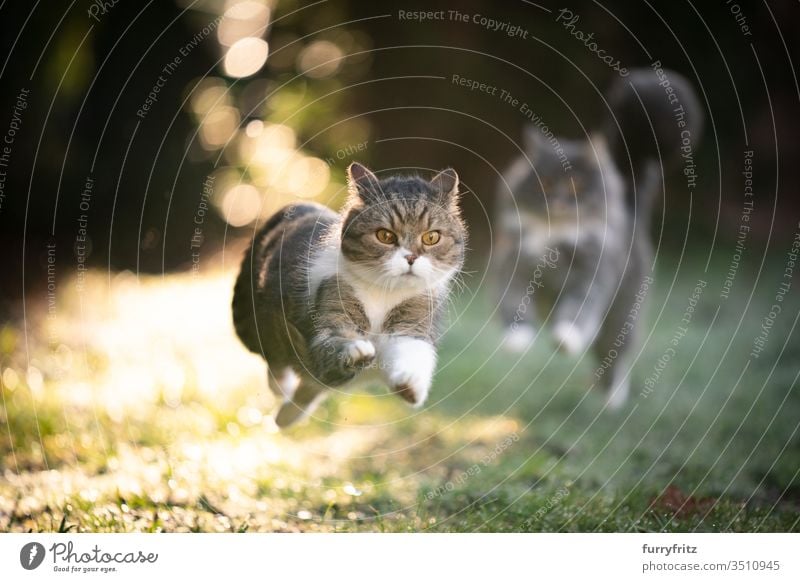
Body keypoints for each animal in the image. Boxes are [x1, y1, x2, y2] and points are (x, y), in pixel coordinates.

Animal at [496, 68, 704, 408]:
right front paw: (516, 340)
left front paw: (565, 339)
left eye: (577, 184)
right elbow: (513, 305)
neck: (556, 235)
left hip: (620, 318)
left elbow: (577, 311)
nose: (559, 201)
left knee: (615, 357)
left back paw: (612, 399)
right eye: (546, 182)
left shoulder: (592, 275)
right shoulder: (513, 265)